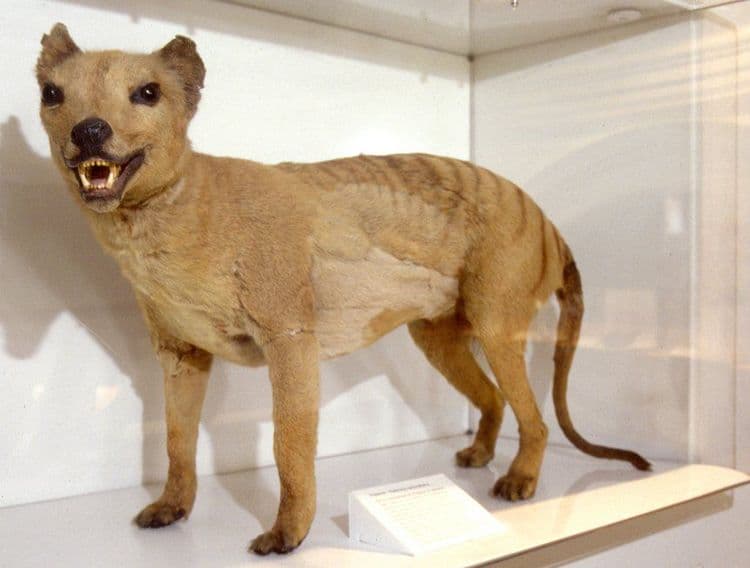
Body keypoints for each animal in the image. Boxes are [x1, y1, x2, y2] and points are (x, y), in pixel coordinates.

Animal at [36, 23, 650, 555]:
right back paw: (479, 454)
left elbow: (289, 447)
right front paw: (172, 508)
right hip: (438, 337)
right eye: (52, 92)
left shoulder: (291, 342)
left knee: (537, 419)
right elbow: (176, 440)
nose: (89, 130)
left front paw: (288, 534)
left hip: (496, 327)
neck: (183, 208)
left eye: (147, 92)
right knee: (494, 399)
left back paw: (520, 480)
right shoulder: (181, 354)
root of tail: (548, 223)